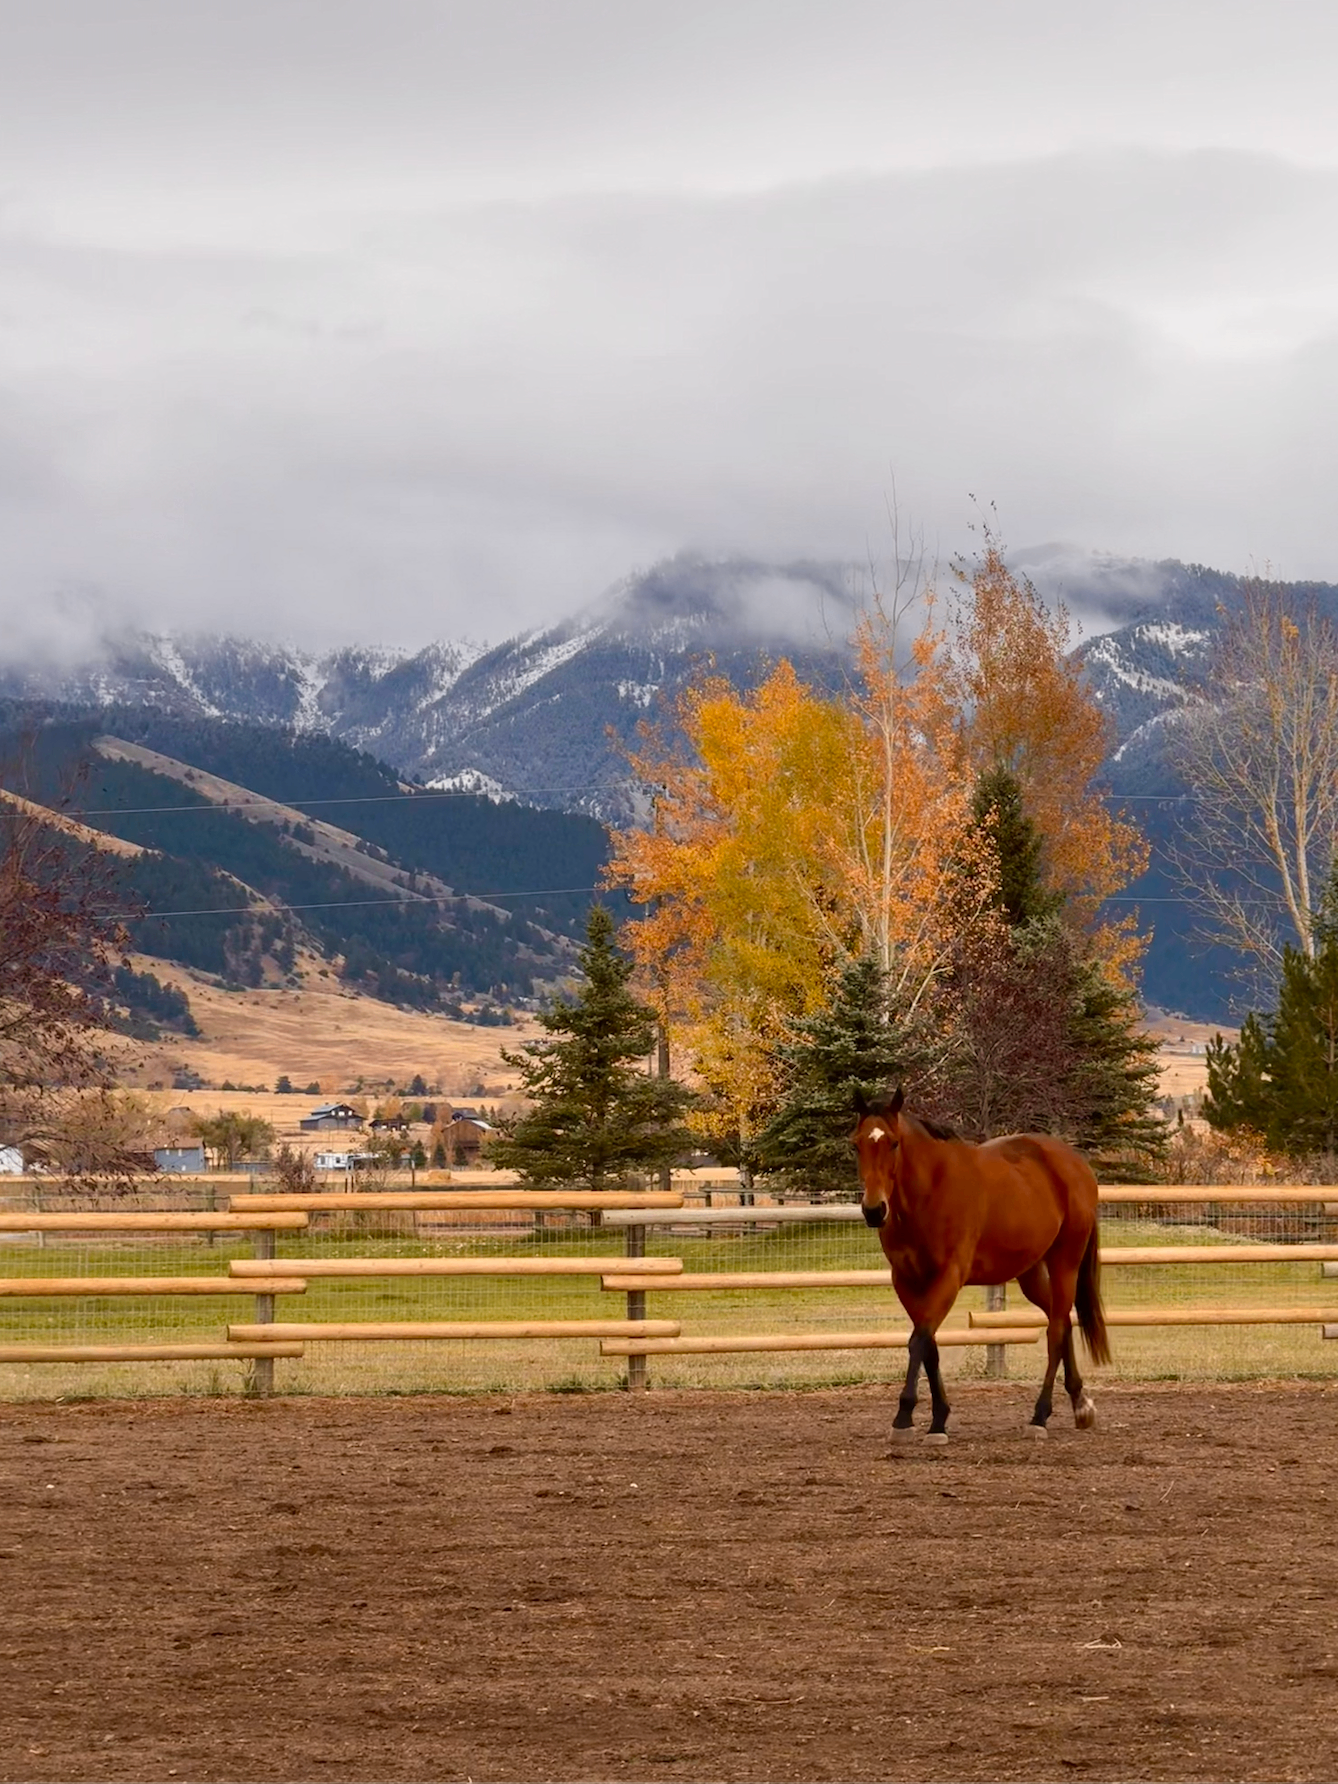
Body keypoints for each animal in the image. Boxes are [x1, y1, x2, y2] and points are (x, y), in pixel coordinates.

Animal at [852, 1084, 1109, 1441]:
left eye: (893, 1142)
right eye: (856, 1144)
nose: (874, 1210)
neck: (930, 1191)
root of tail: (1075, 1163)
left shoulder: (949, 1276)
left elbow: (918, 1340)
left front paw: (903, 1418)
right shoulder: (906, 1280)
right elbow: (929, 1344)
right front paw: (938, 1420)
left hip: (1065, 1261)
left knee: (1056, 1330)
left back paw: (1040, 1416)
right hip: (1030, 1273)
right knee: (1062, 1320)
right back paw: (1080, 1404)